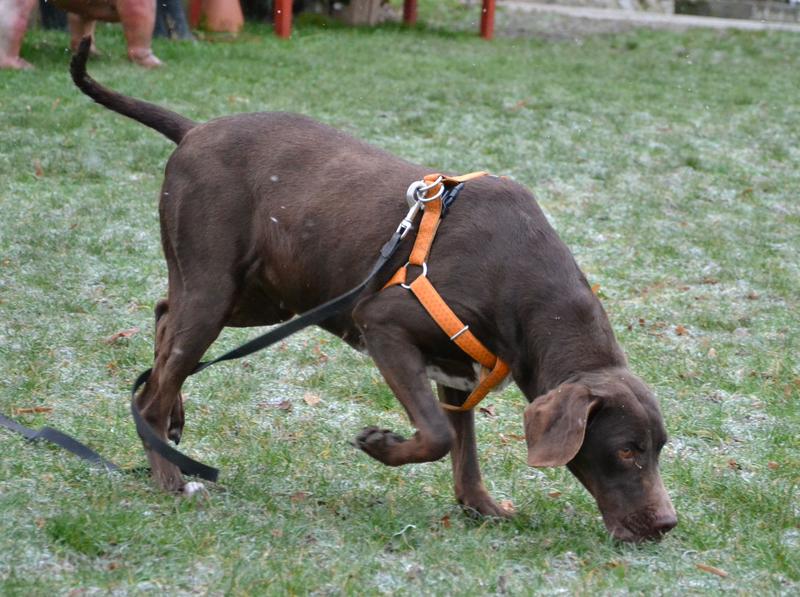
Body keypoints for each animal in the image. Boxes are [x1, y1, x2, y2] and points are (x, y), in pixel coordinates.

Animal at [72, 37, 676, 540]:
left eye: (660, 449)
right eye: (626, 451)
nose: (667, 524)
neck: (523, 286)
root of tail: (194, 129)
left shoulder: (457, 372)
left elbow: (463, 454)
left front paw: (479, 506)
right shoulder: (384, 324)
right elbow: (436, 437)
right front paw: (381, 446)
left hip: (267, 295)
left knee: (163, 321)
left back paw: (172, 418)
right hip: (217, 288)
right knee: (156, 382)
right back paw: (168, 474)